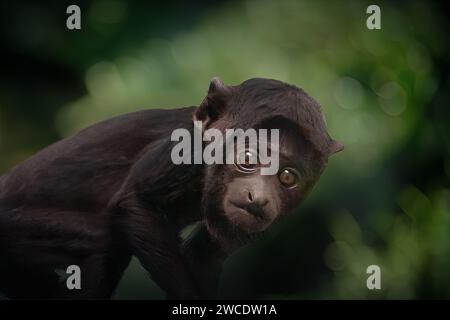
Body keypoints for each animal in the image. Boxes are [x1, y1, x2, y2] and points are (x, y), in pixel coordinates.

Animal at [0, 78, 342, 300]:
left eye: (287, 178)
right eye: (247, 158)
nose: (258, 198)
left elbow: (203, 255)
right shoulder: (184, 149)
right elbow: (139, 202)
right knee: (105, 238)